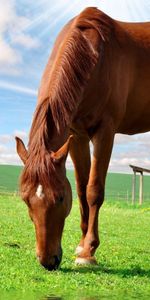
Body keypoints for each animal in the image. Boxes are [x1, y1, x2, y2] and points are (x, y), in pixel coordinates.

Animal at [15, 7, 150, 270]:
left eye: (59, 197)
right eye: (26, 200)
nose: (48, 261)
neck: (95, 56)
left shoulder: (105, 132)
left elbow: (93, 190)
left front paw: (88, 252)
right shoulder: (76, 135)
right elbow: (80, 188)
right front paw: (81, 245)